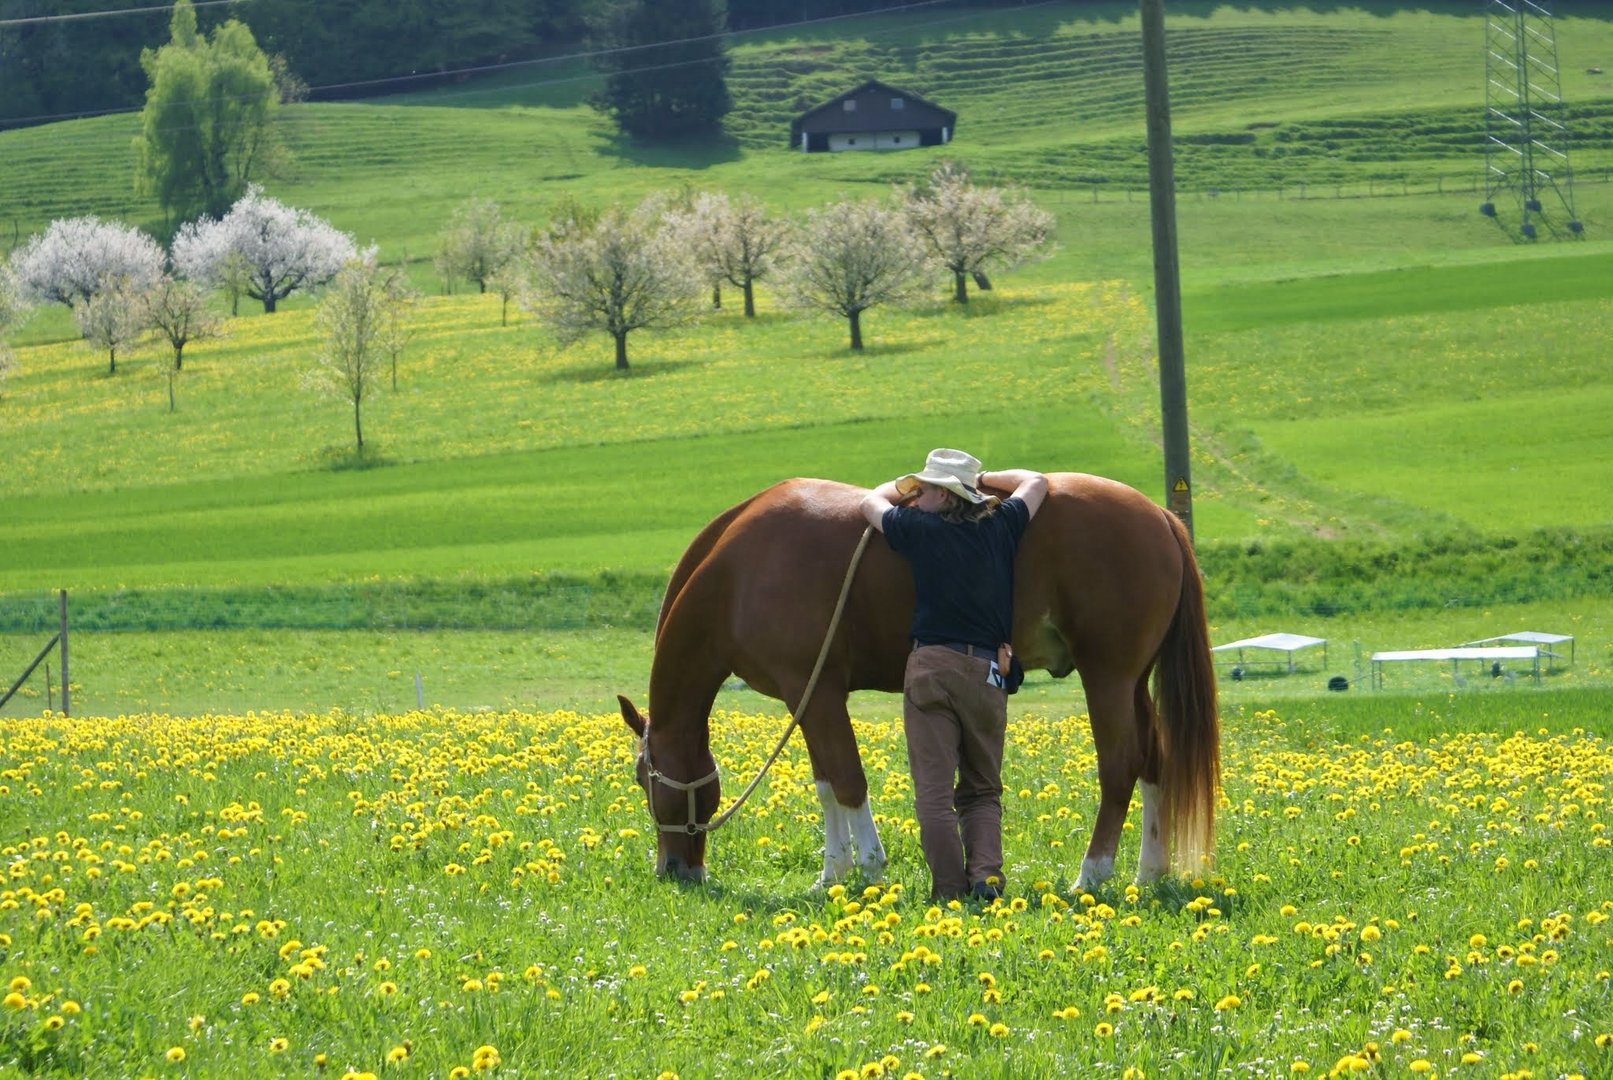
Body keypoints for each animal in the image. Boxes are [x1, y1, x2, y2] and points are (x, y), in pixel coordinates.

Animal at [619, 473, 1219, 889]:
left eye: (643, 779)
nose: (673, 870)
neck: (740, 572)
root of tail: (1159, 515)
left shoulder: (817, 693)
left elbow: (847, 780)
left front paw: (869, 869)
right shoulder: (806, 699)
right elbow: (825, 783)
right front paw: (831, 874)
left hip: (1108, 679)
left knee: (1120, 768)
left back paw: (1091, 875)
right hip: (1133, 683)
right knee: (1154, 762)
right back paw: (1148, 873)